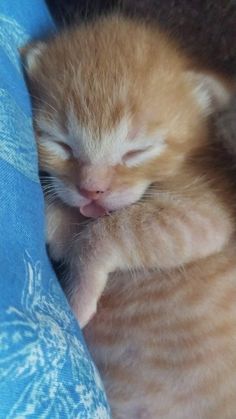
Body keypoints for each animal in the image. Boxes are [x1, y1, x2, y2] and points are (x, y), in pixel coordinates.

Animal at [23, 15, 236, 419]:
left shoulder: (205, 215)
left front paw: (79, 300)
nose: (92, 189)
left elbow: (102, 234)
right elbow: (69, 229)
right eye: (60, 143)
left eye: (137, 151)